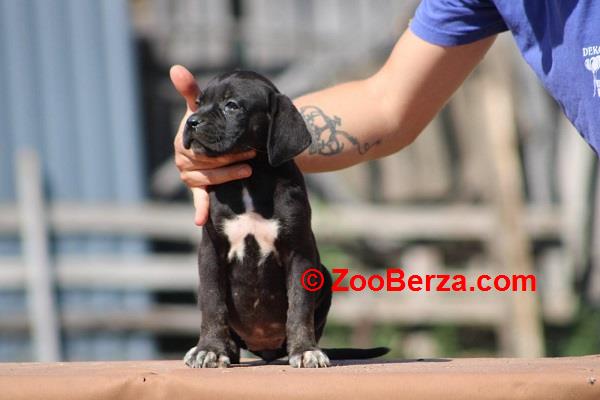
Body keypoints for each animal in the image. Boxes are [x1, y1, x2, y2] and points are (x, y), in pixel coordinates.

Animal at [182, 70, 384, 368]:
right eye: (199, 102)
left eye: (232, 105)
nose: (191, 121)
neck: (250, 178)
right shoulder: (211, 250)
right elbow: (212, 302)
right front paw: (210, 349)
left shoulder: (299, 253)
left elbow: (299, 307)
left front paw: (305, 350)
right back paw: (227, 349)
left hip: (323, 276)